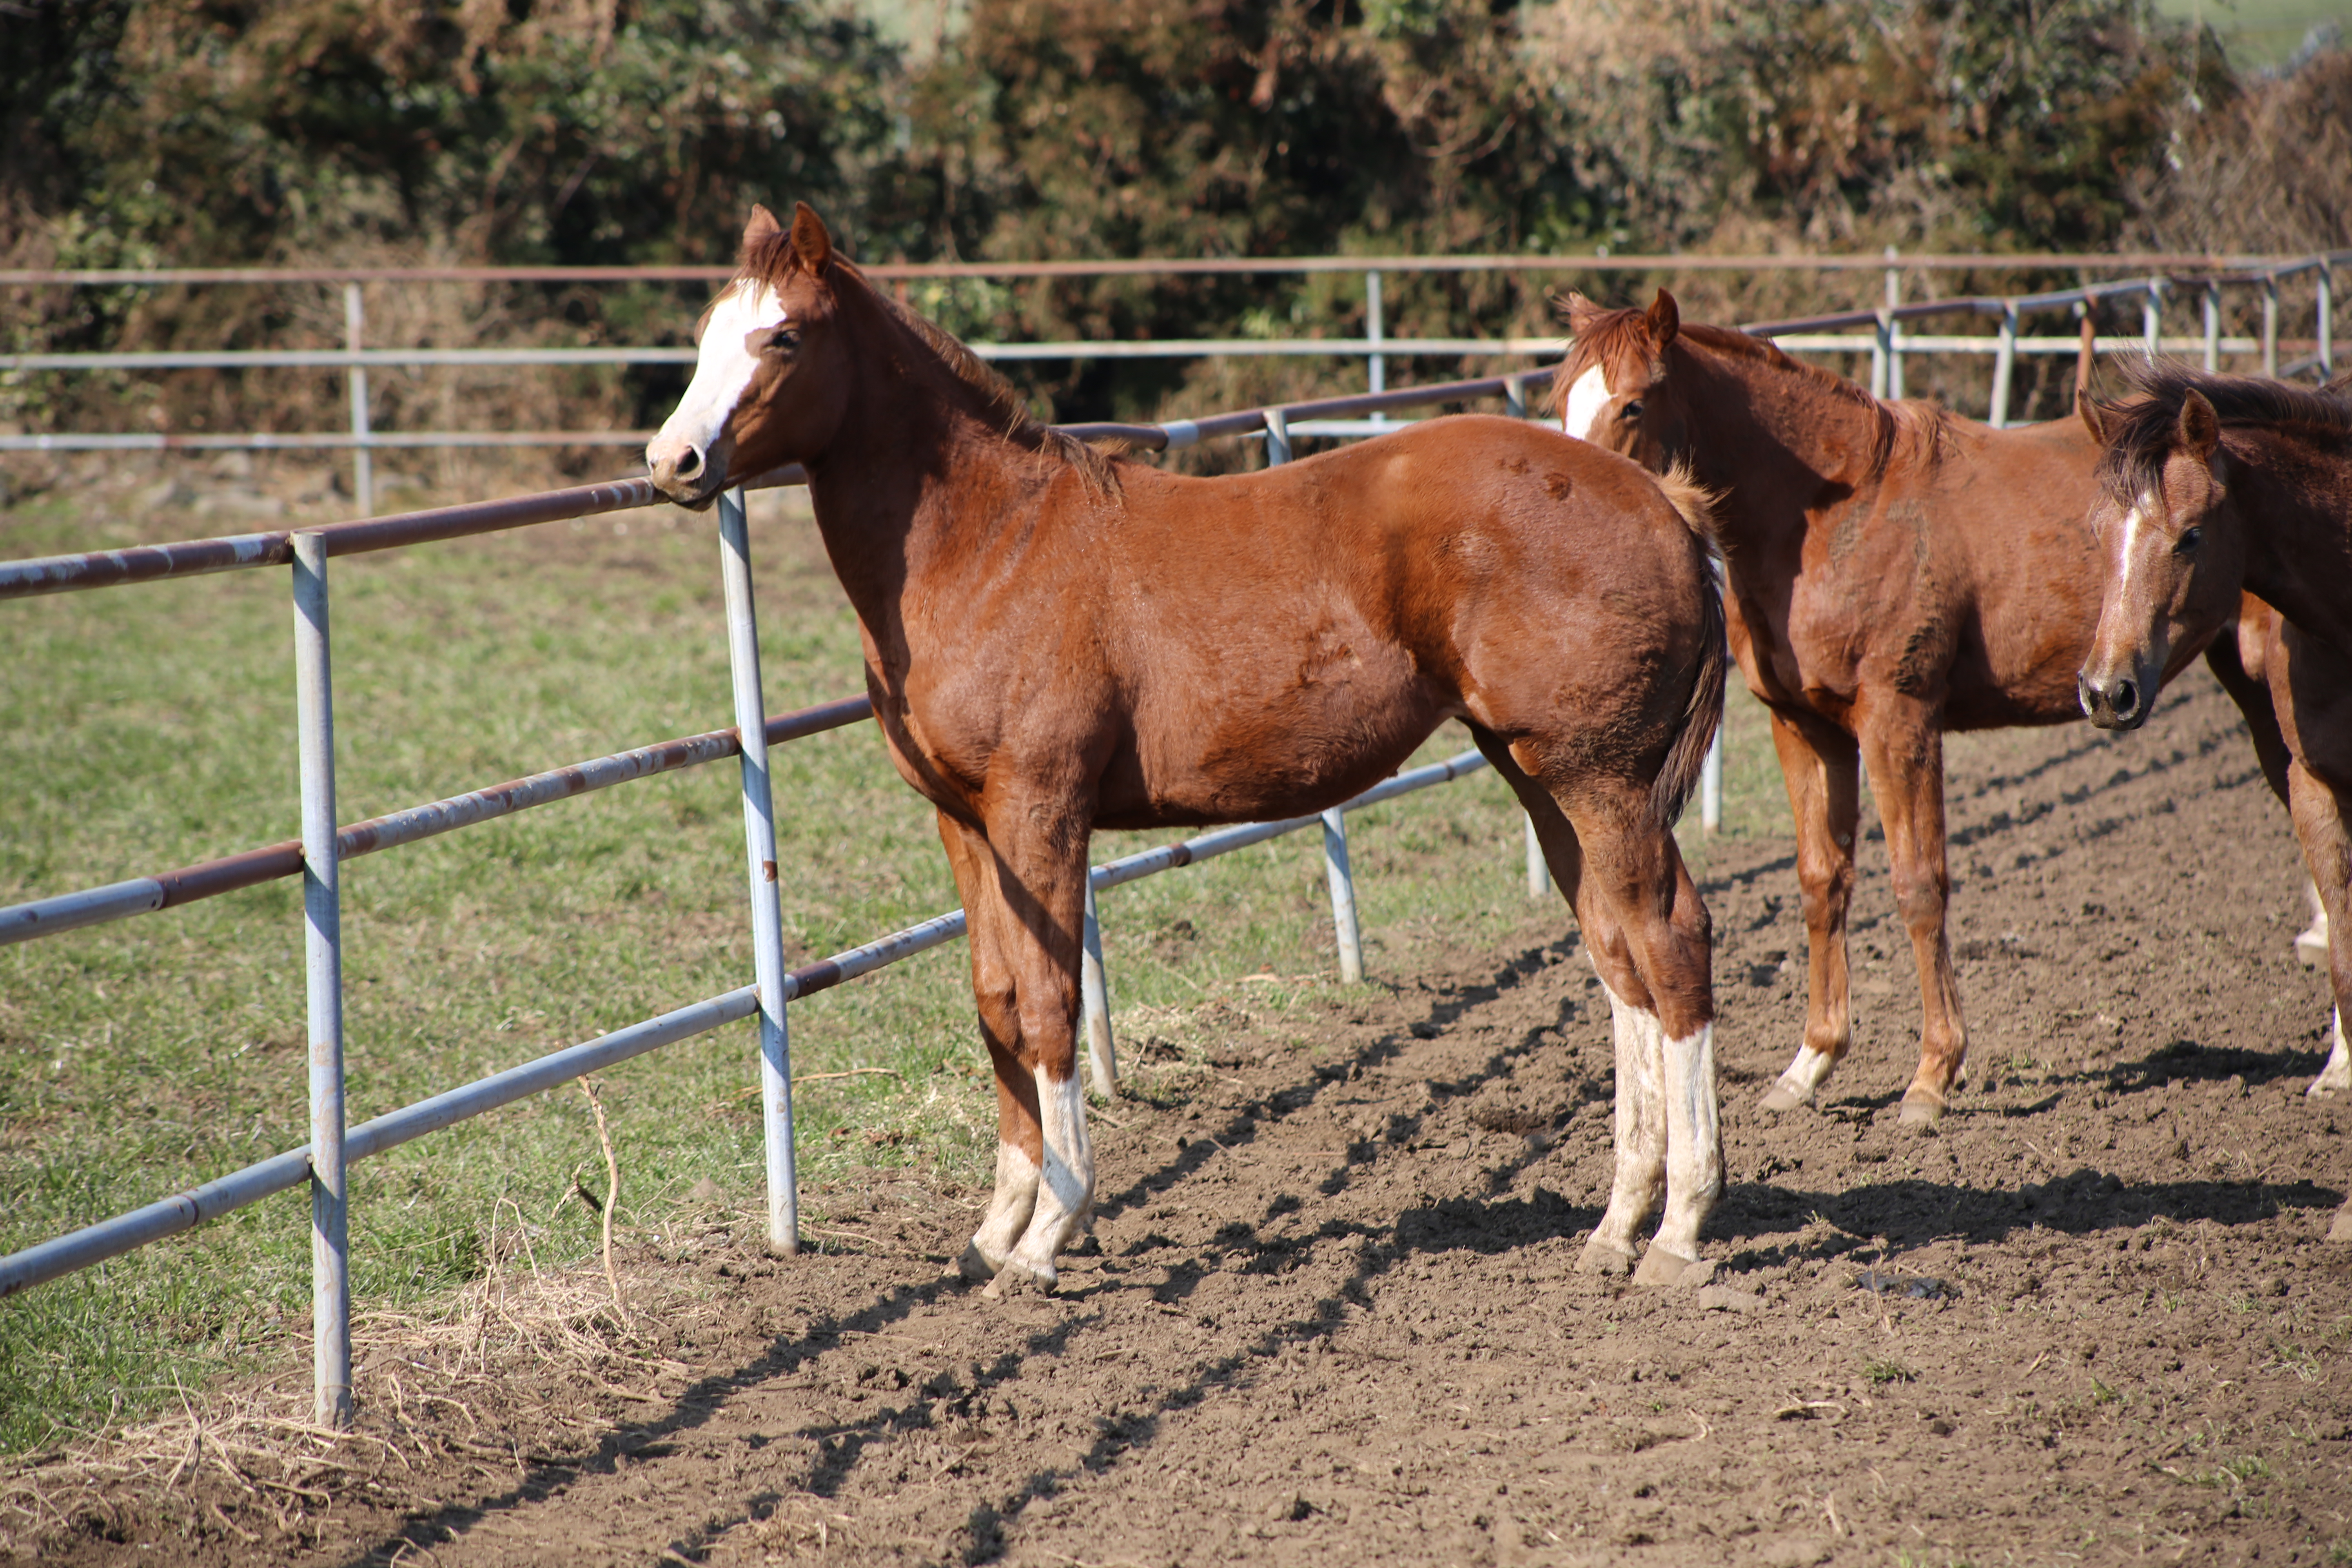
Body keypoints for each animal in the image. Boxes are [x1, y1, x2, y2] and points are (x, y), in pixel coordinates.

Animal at [644, 205, 1731, 1288]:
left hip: (1603, 781)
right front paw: (996, 1228)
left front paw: (1048, 1234)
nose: (671, 463)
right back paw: (1617, 1222)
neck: (994, 544)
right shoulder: (964, 820)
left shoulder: (1039, 809)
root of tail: (1663, 504)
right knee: (1616, 957)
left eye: (784, 337)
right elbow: (997, 1001)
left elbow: (1050, 1003)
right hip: (1542, 776)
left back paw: (1679, 1230)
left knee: (1669, 941)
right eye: (704, 332)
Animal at [1552, 294, 2286, 1128]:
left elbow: (1918, 884)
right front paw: (1809, 1065)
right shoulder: (1804, 728)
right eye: (1560, 400)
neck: (1836, 517)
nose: (1582, 507)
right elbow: (1821, 881)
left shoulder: (1898, 721)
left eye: (1634, 403)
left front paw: (1932, 1077)